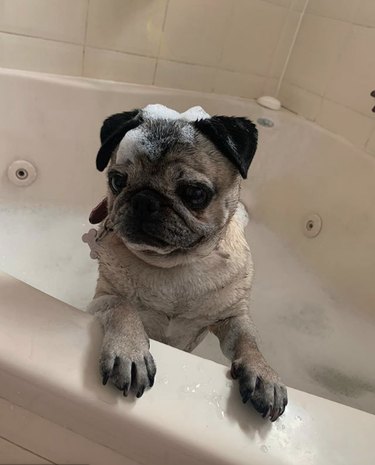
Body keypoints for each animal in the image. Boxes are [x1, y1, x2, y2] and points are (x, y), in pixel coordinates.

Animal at [87, 104, 288, 420]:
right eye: (117, 181)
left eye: (195, 194)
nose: (144, 200)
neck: (172, 266)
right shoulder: (102, 299)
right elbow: (122, 307)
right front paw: (129, 351)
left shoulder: (233, 316)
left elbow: (249, 341)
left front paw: (264, 374)